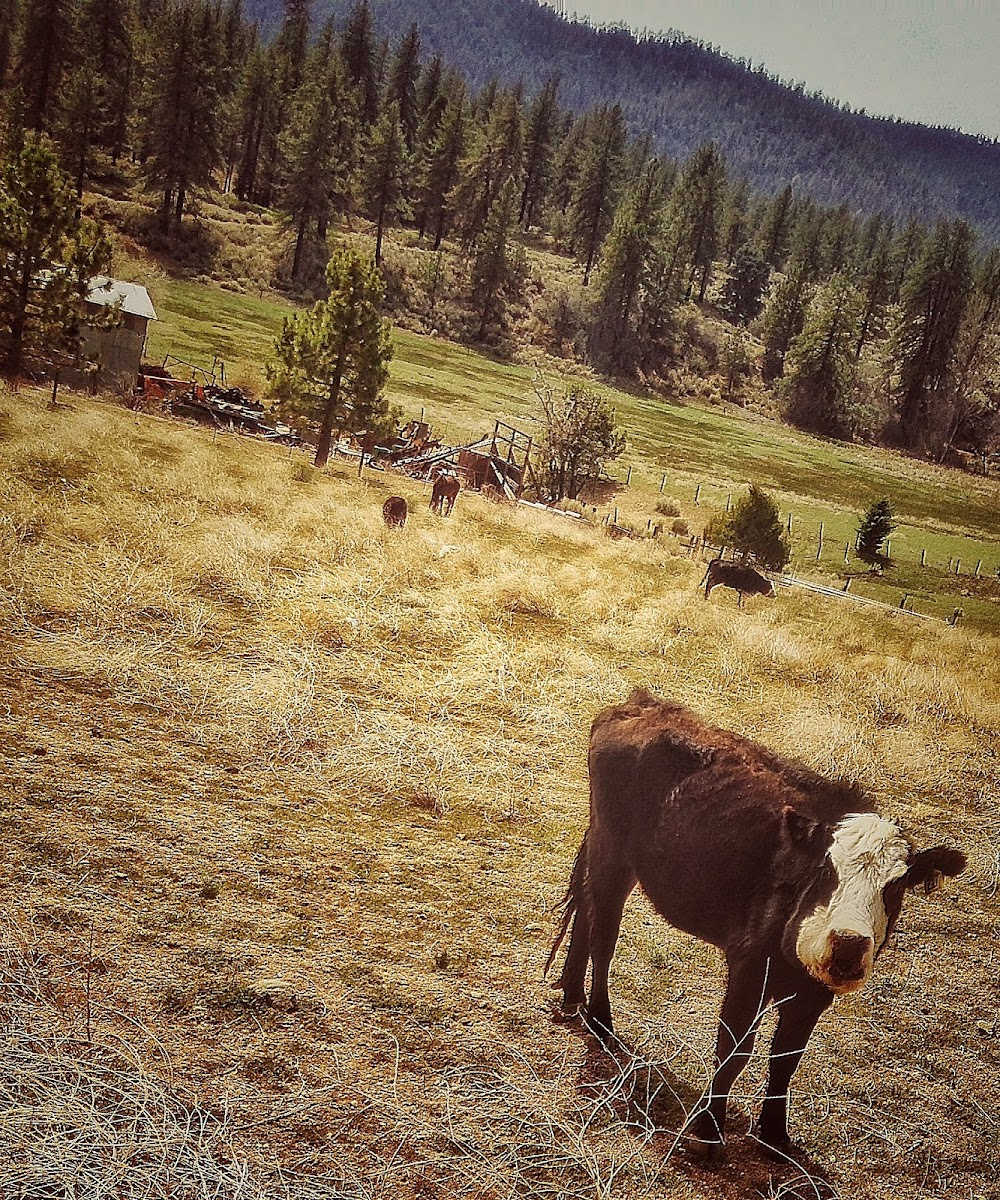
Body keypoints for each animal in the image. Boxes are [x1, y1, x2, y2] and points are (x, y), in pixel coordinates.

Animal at [547, 691, 969, 1166]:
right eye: (826, 869)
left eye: (895, 886)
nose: (847, 945)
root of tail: (642, 703)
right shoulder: (749, 966)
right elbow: (735, 1050)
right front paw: (707, 1134)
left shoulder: (813, 993)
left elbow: (786, 1058)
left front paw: (774, 1134)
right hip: (613, 854)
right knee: (603, 934)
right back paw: (600, 1021)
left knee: (586, 915)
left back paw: (572, 996)